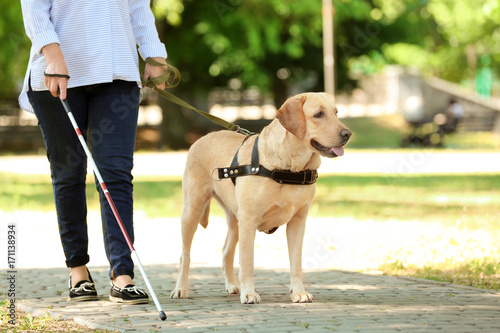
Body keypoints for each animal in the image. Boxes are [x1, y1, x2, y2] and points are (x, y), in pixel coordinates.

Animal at [172, 92, 352, 302]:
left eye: (336, 112)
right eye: (318, 115)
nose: (347, 134)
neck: (289, 169)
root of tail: (203, 137)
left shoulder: (298, 222)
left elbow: (296, 263)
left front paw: (298, 292)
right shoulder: (249, 221)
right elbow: (247, 262)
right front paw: (249, 292)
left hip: (235, 220)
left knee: (226, 252)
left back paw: (232, 285)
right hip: (192, 210)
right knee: (185, 255)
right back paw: (181, 289)